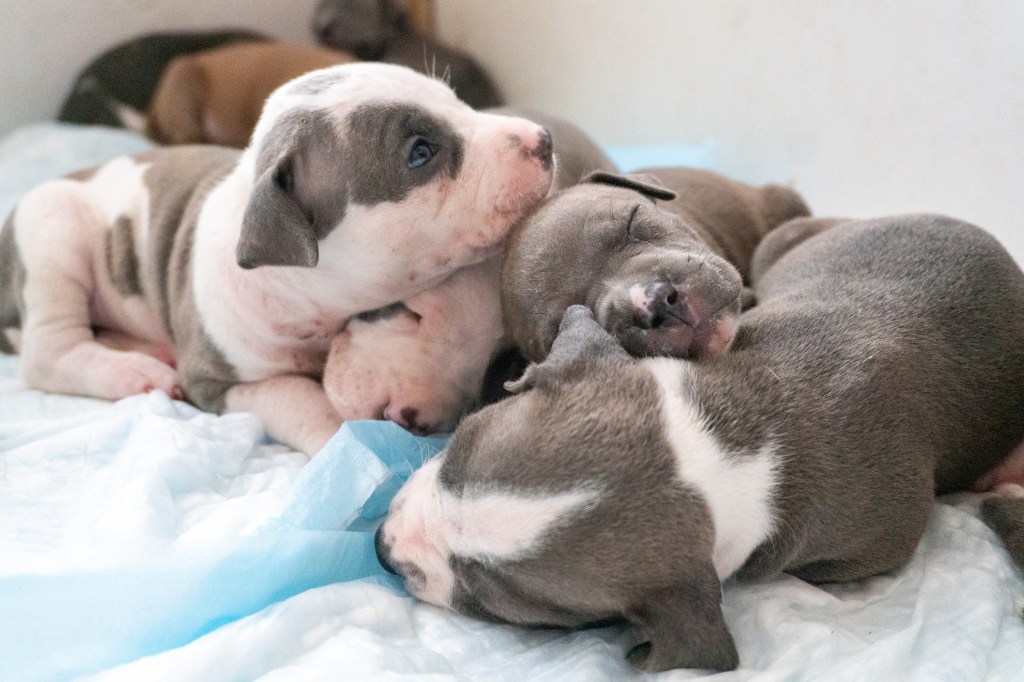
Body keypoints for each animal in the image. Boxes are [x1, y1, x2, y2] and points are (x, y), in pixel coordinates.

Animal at [0, 62, 557, 450]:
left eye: (460, 102)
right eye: (420, 152)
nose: (544, 140)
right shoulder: (215, 382)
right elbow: (298, 399)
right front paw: (343, 447)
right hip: (52, 231)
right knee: (48, 351)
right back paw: (131, 371)